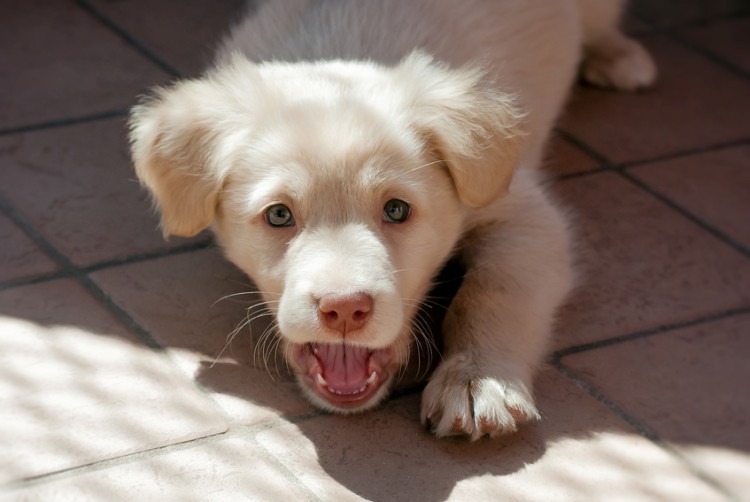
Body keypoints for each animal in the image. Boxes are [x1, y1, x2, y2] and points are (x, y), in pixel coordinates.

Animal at [131, 0, 656, 440]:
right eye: (279, 215)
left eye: (396, 210)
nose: (345, 309)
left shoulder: (524, 212)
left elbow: (492, 293)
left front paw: (479, 380)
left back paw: (618, 55)